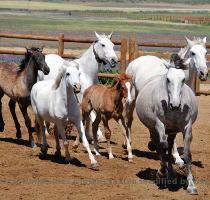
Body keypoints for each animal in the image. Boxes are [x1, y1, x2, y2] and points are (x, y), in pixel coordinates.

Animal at [124, 36, 208, 166]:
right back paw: (129, 152)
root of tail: (135, 62)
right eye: (193, 53)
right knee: (128, 120)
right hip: (131, 99)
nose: (204, 73)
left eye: (205, 52)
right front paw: (177, 158)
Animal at [135, 57, 198, 195]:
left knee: (169, 148)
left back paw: (171, 174)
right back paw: (164, 172)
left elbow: (187, 154)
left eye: (183, 79)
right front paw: (161, 173)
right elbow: (162, 147)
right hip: (153, 128)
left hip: (172, 131)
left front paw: (191, 186)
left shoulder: (187, 128)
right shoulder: (159, 125)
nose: (175, 104)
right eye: (168, 79)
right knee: (161, 146)